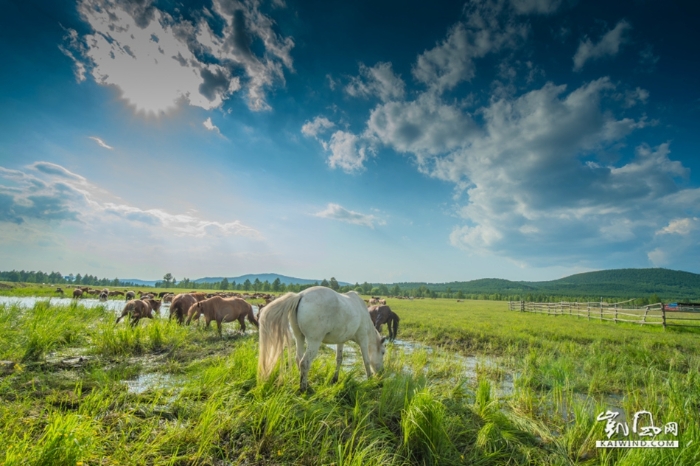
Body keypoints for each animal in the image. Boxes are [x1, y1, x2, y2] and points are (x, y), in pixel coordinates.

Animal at [258, 286, 386, 392]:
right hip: (314, 341)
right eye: (383, 352)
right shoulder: (363, 339)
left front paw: (335, 379)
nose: (381, 374)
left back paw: (306, 384)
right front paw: (370, 380)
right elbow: (366, 360)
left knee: (299, 359)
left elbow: (339, 359)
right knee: (305, 362)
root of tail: (300, 295)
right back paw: (304, 389)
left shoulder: (340, 341)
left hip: (299, 337)